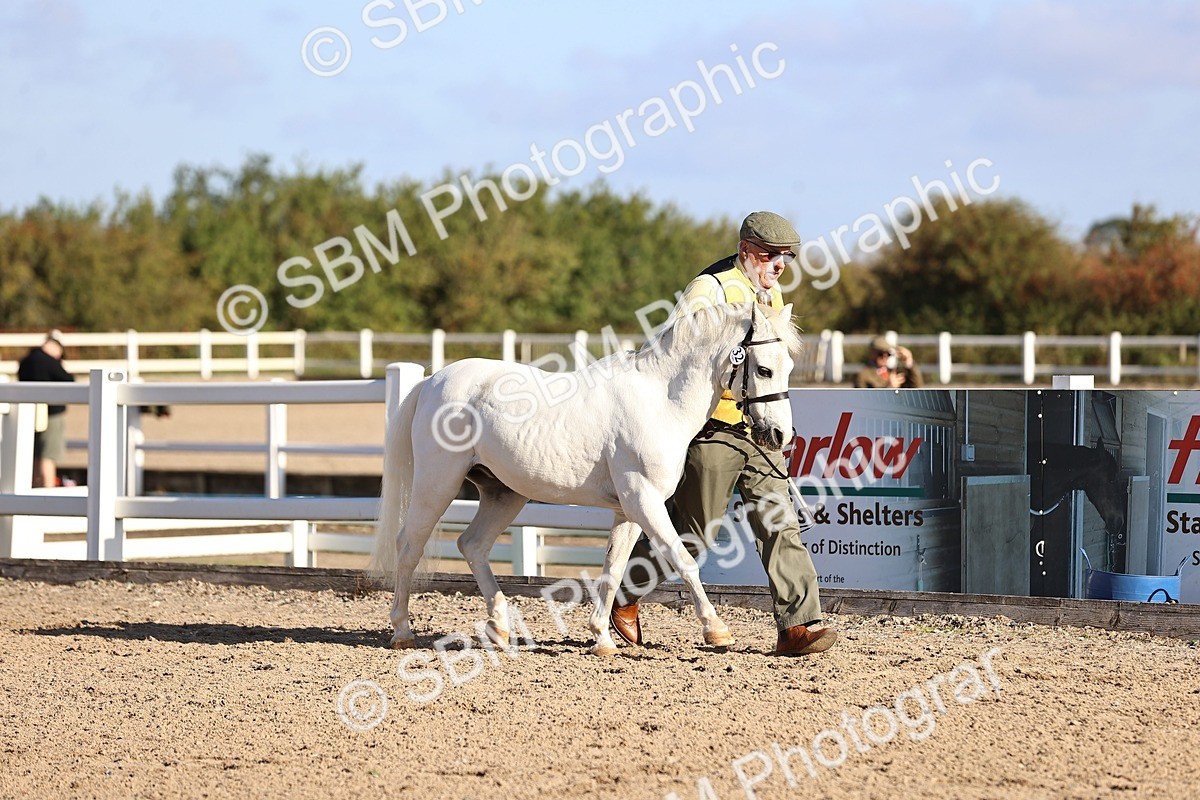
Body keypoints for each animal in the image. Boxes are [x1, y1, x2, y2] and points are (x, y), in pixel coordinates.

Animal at [370, 301, 799, 656]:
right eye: (764, 369)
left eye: (789, 368)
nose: (780, 436)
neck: (660, 401)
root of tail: (432, 382)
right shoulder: (644, 501)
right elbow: (683, 560)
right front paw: (716, 631)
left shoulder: (628, 510)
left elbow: (613, 570)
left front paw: (603, 639)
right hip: (436, 484)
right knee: (408, 546)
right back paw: (402, 632)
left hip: (502, 493)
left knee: (472, 544)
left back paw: (501, 630)